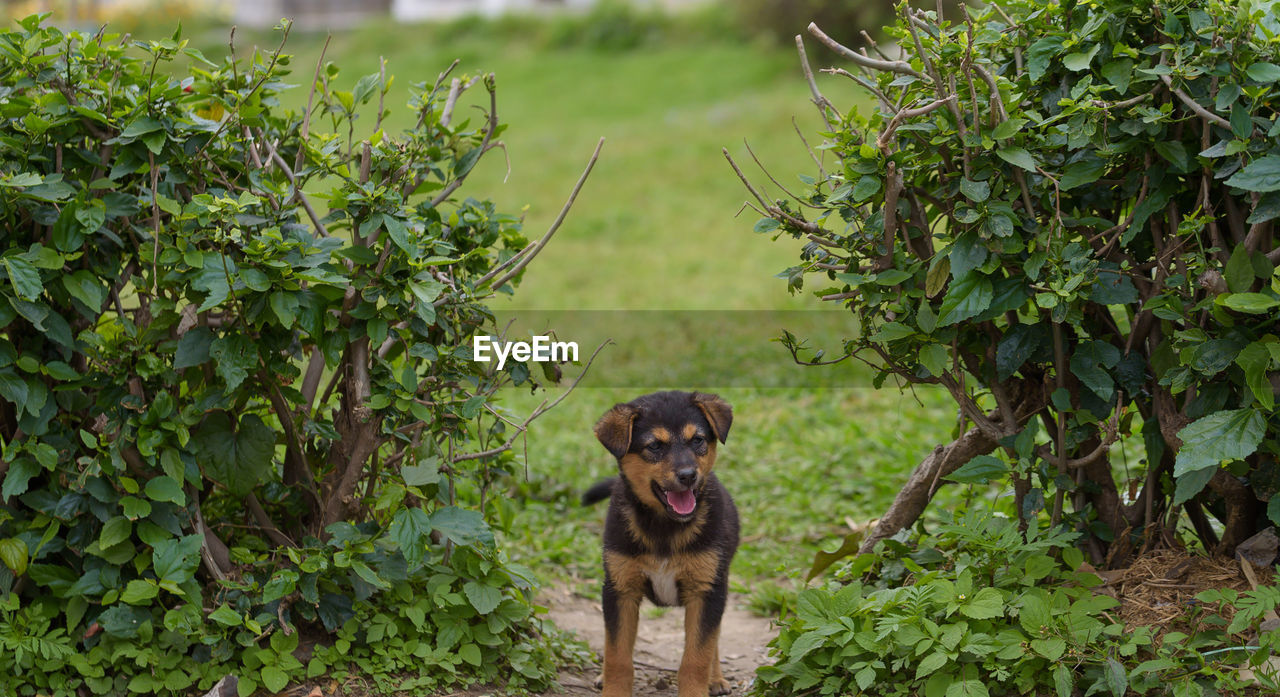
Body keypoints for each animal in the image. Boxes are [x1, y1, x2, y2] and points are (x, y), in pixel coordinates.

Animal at [583, 388, 742, 695]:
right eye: (655, 446)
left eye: (697, 440)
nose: (689, 476)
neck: (664, 528)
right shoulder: (619, 589)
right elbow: (617, 655)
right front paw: (613, 688)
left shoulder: (706, 590)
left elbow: (697, 657)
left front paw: (697, 689)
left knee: (714, 639)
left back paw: (716, 680)